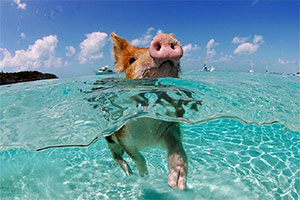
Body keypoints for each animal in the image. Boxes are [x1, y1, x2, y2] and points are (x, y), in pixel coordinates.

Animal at [104, 32, 186, 190]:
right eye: (131, 60)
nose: (163, 36)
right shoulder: (123, 137)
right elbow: (137, 157)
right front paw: (144, 175)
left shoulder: (168, 126)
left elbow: (177, 149)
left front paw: (177, 184)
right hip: (110, 140)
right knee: (116, 156)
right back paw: (129, 173)